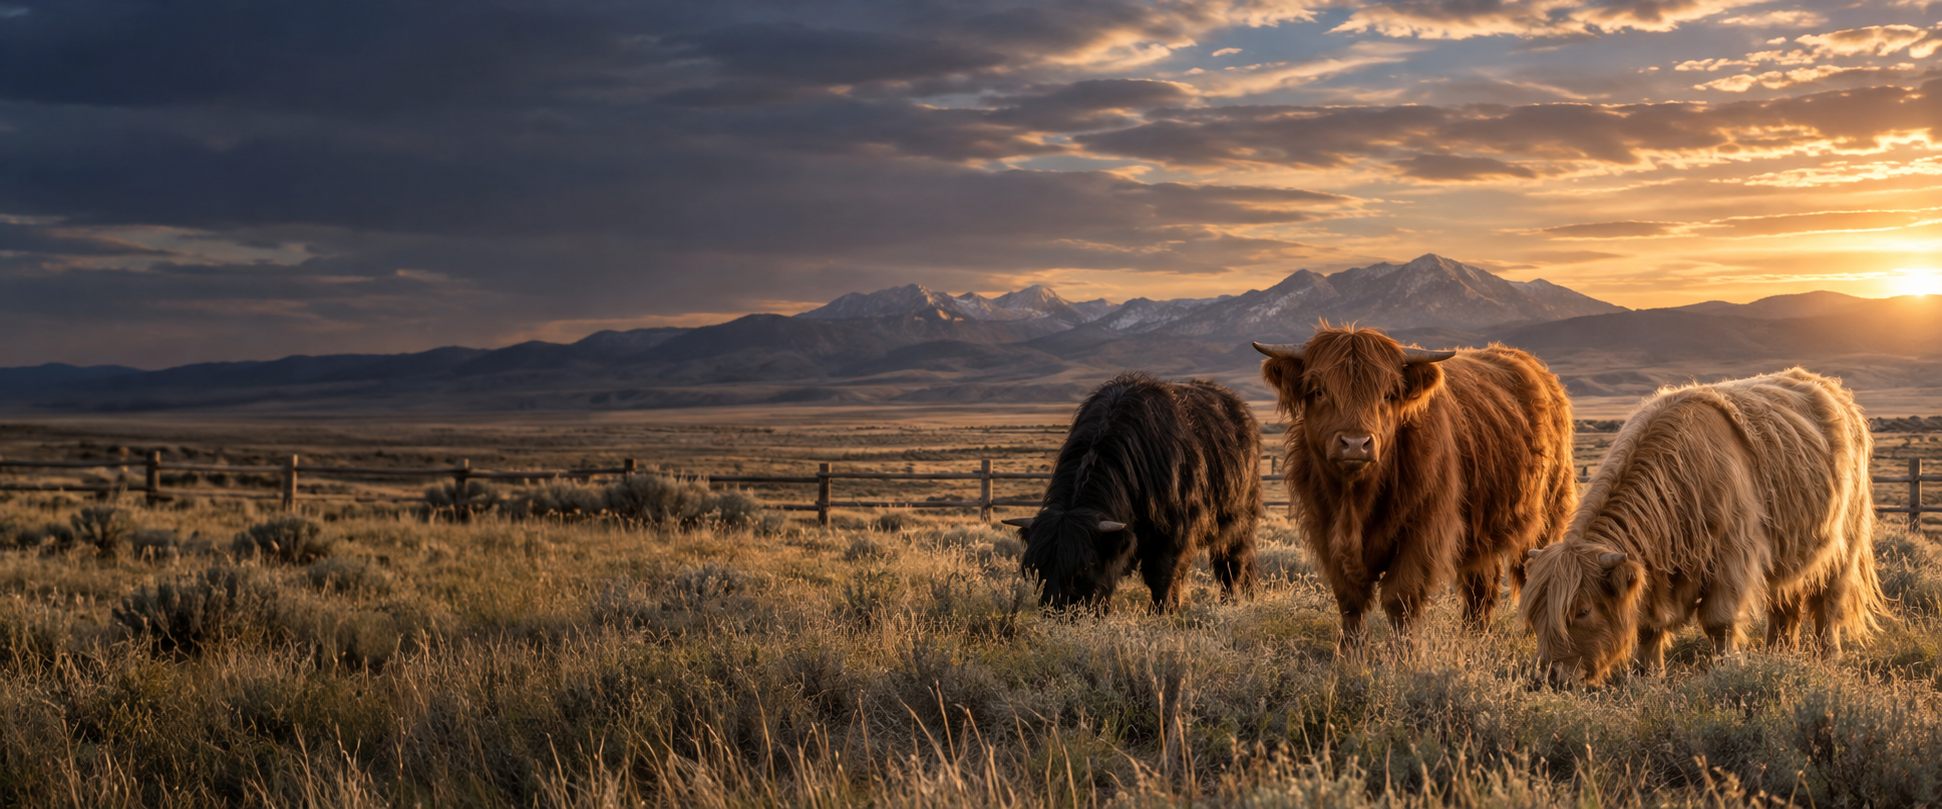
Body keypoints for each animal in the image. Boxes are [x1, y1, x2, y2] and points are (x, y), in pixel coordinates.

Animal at [1006, 372, 1262, 612]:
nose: (1059, 611)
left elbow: (1161, 575)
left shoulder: (1175, 531)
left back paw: (1230, 601)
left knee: (1232, 564)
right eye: (1034, 569)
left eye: (1085, 566)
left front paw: (1162, 612)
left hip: (1239, 521)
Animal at [1254, 326, 1576, 650]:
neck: (1355, 500)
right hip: (1481, 528)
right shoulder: (1324, 530)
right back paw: (1474, 636)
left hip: (1548, 515)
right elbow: (1349, 600)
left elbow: (1400, 598)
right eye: (1319, 391)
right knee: (1481, 582)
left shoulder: (1423, 530)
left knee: (1534, 572)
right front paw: (1350, 654)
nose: (1356, 444)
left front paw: (1403, 655)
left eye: (1387, 394)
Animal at [1522, 368, 1884, 686]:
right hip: (1790, 553)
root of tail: (1833, 390)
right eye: (1537, 613)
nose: (1550, 678)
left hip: (1845, 542)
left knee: (1828, 605)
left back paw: (1828, 657)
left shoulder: (1733, 558)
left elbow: (1719, 622)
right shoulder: (1654, 573)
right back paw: (1779, 656)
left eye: (1582, 611)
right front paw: (1646, 676)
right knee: (1785, 604)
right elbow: (1648, 626)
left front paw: (1726, 669)